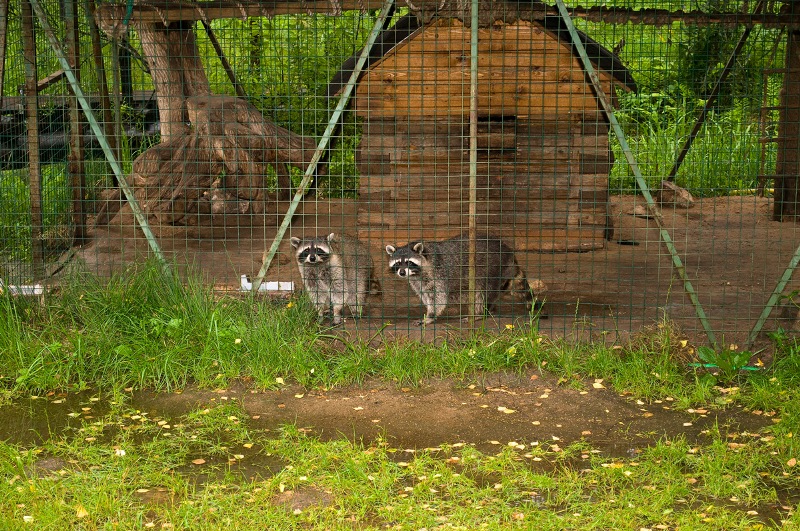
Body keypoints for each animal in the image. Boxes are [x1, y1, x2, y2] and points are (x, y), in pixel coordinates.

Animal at [386, 235, 540, 326]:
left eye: (409, 262)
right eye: (398, 263)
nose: (402, 272)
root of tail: (509, 252)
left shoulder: (438, 273)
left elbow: (438, 297)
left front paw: (430, 315)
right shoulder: (418, 281)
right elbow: (426, 295)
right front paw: (429, 311)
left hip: (491, 269)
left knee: (483, 293)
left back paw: (480, 313)